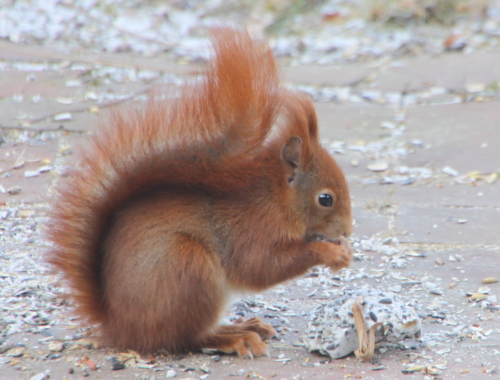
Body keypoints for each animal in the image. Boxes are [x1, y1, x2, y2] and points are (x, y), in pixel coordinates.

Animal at [46, 28, 352, 358]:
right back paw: (234, 337)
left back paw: (244, 325)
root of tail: (120, 326)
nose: (348, 230)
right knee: (185, 338)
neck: (275, 198)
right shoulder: (251, 229)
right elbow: (262, 266)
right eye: (325, 199)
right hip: (188, 268)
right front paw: (331, 252)